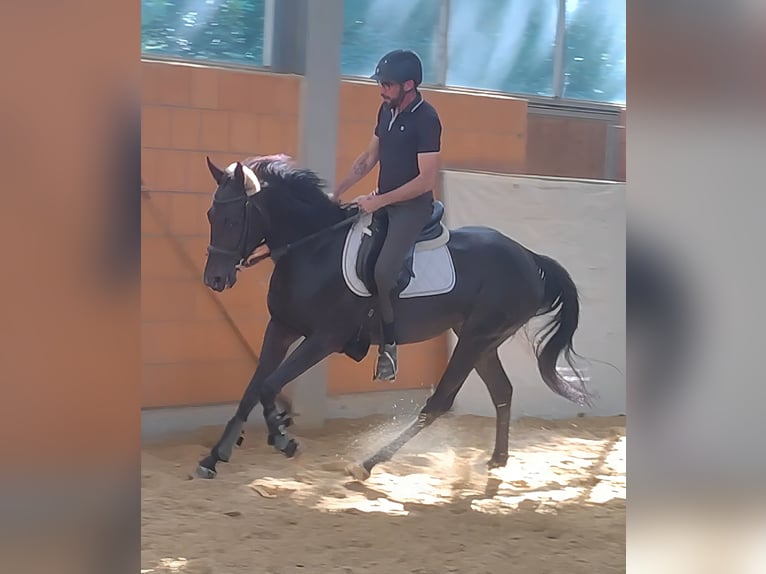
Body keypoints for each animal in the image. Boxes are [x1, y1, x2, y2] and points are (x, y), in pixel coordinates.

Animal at [196, 154, 593, 480]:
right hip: (482, 341)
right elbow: (253, 388)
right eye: (211, 216)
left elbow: (268, 385)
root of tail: (528, 256)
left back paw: (369, 463)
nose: (214, 279)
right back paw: (497, 459)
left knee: (440, 403)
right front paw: (215, 456)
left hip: (476, 339)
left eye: (232, 219)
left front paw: (283, 438)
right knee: (502, 391)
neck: (313, 247)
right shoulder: (281, 327)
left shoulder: (323, 339)